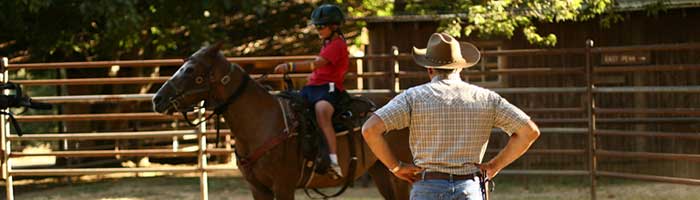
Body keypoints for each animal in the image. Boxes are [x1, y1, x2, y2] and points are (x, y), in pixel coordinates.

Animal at [150, 44, 408, 200]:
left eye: (191, 70)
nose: (157, 99)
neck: (261, 122)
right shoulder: (258, 188)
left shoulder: (283, 186)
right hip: (381, 171)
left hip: (400, 176)